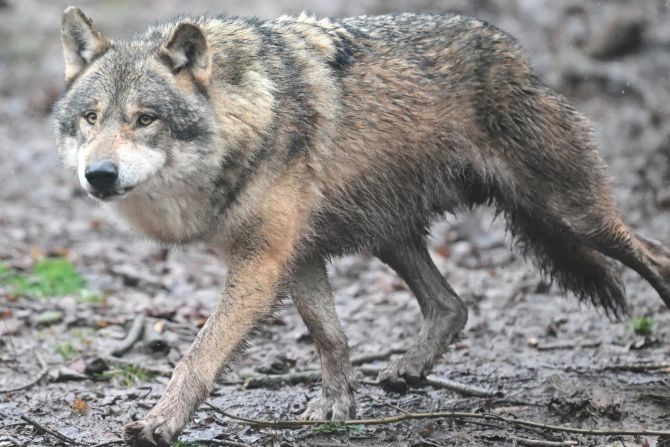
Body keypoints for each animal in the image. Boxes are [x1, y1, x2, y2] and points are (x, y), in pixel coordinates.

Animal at [53, 6, 670, 446]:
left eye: (144, 119)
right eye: (91, 118)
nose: (99, 175)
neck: (247, 116)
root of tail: (517, 54)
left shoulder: (261, 261)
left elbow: (199, 354)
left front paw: (160, 422)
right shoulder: (297, 254)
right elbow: (330, 335)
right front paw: (337, 408)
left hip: (571, 215)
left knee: (655, 253)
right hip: (389, 233)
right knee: (452, 305)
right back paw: (408, 370)